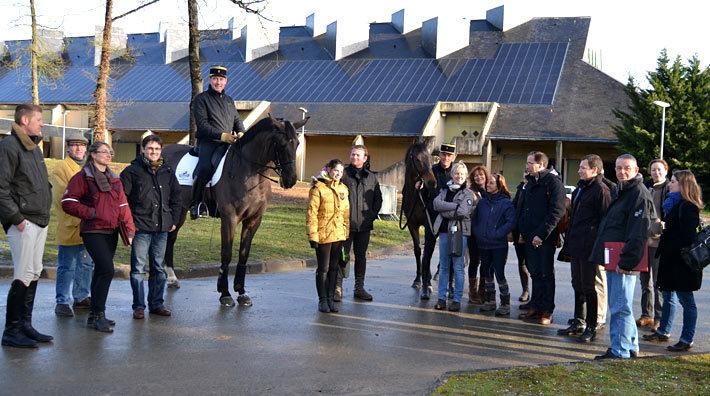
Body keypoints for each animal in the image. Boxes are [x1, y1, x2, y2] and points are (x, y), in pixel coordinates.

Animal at [164, 114, 308, 306]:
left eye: (297, 143)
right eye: (281, 144)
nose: (290, 180)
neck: (250, 173)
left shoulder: (254, 220)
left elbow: (244, 254)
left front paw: (241, 291)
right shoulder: (229, 219)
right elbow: (227, 254)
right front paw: (225, 293)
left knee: (170, 237)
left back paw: (171, 277)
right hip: (178, 210)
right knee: (169, 237)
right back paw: (169, 277)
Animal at [400, 142, 440, 288]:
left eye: (429, 157)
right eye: (417, 159)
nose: (432, 182)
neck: (417, 197)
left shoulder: (429, 225)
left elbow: (428, 251)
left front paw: (426, 281)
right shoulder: (412, 225)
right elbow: (418, 250)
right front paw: (418, 279)